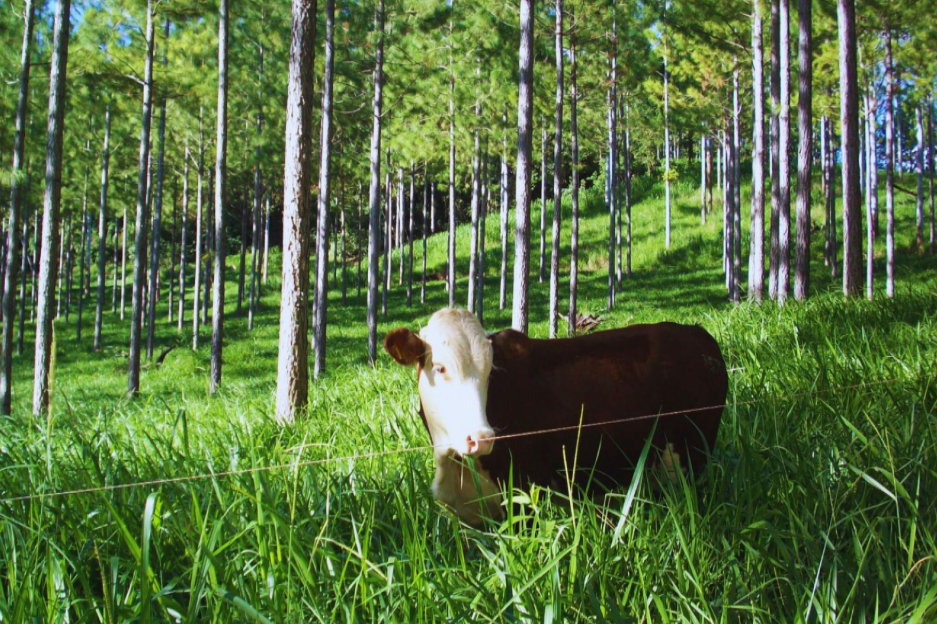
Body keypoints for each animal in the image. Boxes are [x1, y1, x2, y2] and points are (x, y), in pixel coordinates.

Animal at [384, 310, 728, 524]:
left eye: (491, 370)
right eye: (439, 367)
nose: (481, 438)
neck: (453, 465)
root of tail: (697, 333)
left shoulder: (524, 493)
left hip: (693, 456)